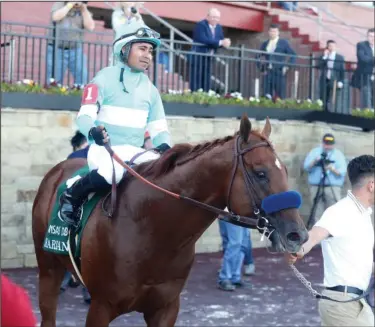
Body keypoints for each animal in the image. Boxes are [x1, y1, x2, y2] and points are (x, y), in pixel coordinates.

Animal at [32, 116, 308, 326]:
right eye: (260, 173)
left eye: (284, 170)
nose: (298, 235)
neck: (151, 228)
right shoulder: (102, 306)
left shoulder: (165, 308)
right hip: (48, 271)